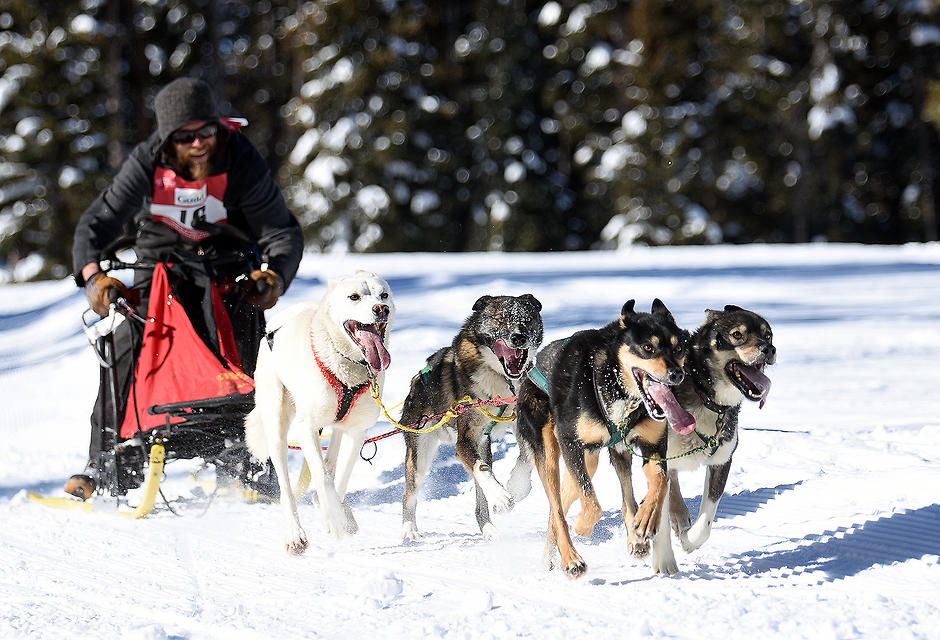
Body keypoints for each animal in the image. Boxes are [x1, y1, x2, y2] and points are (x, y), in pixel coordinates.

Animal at [244, 270, 394, 556]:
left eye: (384, 295)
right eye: (354, 297)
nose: (382, 309)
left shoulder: (357, 431)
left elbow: (340, 477)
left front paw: (336, 512)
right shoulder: (307, 428)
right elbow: (323, 479)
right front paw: (333, 519)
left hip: (337, 426)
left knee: (331, 463)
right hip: (277, 427)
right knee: (287, 488)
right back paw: (296, 535)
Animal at [398, 294, 544, 540]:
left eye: (528, 319)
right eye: (500, 319)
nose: (519, 337)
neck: (501, 380)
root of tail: (416, 382)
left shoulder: (521, 422)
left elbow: (527, 457)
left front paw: (517, 486)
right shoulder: (465, 439)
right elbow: (481, 469)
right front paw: (502, 496)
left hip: (482, 446)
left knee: (480, 500)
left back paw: (489, 529)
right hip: (420, 454)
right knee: (408, 493)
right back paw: (409, 529)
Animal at [516, 300, 692, 580]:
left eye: (678, 348)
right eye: (647, 347)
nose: (677, 374)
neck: (611, 383)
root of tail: (531, 370)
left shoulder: (653, 445)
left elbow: (659, 480)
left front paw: (647, 519)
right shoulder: (571, 444)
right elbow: (592, 505)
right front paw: (583, 527)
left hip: (594, 460)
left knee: (607, 499)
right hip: (552, 455)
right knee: (557, 509)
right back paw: (570, 559)